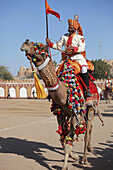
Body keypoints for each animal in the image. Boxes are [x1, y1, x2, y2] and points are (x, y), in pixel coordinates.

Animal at [19, 39, 103, 170]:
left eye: (41, 47)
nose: (25, 42)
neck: (64, 90)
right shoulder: (60, 114)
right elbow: (62, 138)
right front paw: (74, 156)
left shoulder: (74, 114)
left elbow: (68, 141)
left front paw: (65, 165)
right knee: (89, 128)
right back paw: (89, 149)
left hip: (91, 107)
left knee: (87, 130)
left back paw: (84, 158)